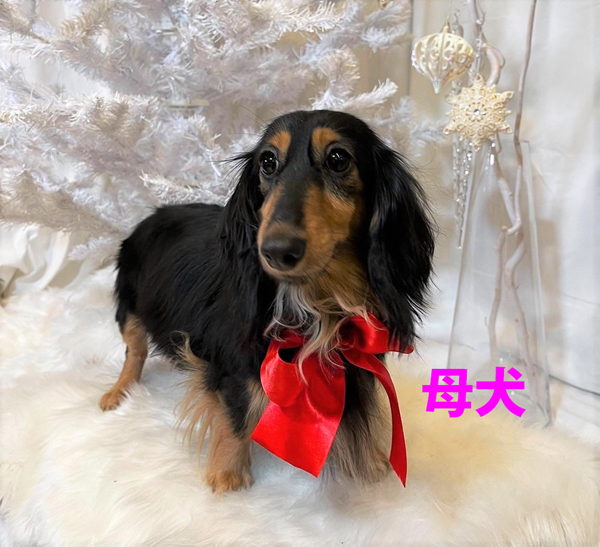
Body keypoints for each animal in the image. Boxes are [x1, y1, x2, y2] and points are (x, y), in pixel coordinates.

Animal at [100, 110, 435, 493]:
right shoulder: (231, 358)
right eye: (268, 162)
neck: (317, 301)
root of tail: (153, 213)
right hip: (129, 306)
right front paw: (228, 475)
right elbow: (237, 413)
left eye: (338, 159)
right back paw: (118, 393)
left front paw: (371, 462)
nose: (275, 251)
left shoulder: (359, 359)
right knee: (135, 352)